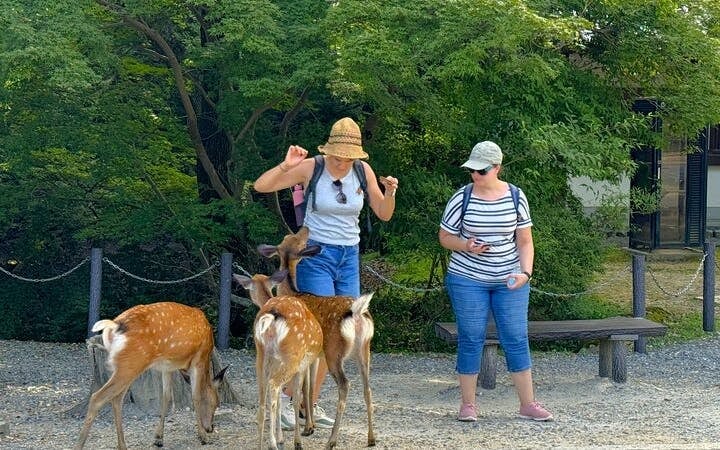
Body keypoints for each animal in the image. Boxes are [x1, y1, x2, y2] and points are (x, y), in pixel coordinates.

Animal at [76, 301, 227, 450]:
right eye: (216, 403)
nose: (210, 428)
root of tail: (114, 325)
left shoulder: (167, 367)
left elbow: (166, 397)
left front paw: (158, 438)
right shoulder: (199, 359)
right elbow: (196, 397)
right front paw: (203, 436)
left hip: (127, 367)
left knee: (117, 399)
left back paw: (123, 445)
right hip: (132, 363)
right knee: (97, 397)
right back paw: (80, 445)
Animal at [234, 269, 323, 450]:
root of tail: (271, 316)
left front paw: (283, 437)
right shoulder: (302, 364)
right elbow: (300, 394)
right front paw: (300, 437)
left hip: (261, 357)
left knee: (263, 399)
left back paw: (262, 444)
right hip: (292, 357)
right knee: (275, 387)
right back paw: (273, 444)